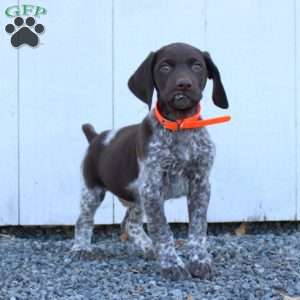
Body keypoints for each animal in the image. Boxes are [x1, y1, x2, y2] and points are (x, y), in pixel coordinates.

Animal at [72, 42, 230, 282]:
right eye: (165, 67)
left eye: (197, 66)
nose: (184, 84)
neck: (180, 125)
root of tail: (96, 137)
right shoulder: (153, 187)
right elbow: (162, 230)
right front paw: (172, 264)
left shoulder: (200, 184)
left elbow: (198, 227)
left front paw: (200, 261)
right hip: (93, 190)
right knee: (84, 219)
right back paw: (81, 248)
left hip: (137, 195)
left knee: (130, 223)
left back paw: (148, 247)